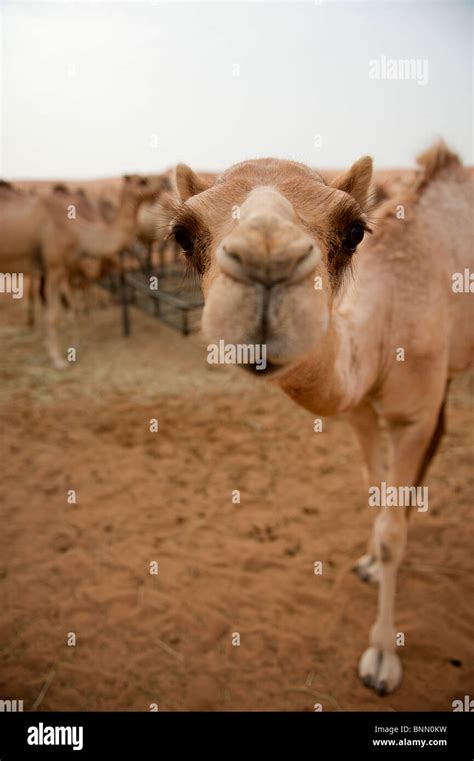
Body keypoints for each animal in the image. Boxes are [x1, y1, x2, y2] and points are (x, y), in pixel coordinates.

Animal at [166, 142, 473, 695]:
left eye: (354, 230)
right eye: (183, 233)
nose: (267, 259)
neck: (387, 321)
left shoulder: (412, 414)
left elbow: (392, 534)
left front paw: (382, 656)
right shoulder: (360, 409)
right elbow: (377, 498)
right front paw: (369, 561)